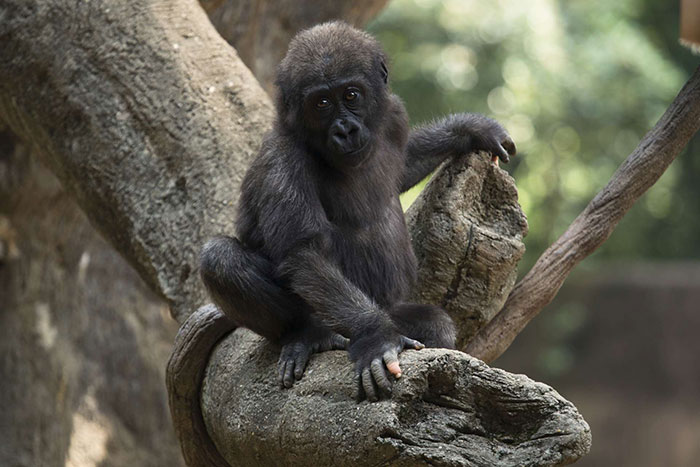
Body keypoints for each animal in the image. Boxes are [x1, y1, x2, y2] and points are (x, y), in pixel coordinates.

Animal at [200, 22, 516, 402]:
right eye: (321, 103)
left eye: (351, 95)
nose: (345, 130)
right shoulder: (282, 160)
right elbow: (304, 253)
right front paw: (376, 338)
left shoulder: (393, 114)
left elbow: (406, 162)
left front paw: (471, 129)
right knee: (221, 259)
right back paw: (308, 333)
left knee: (434, 326)